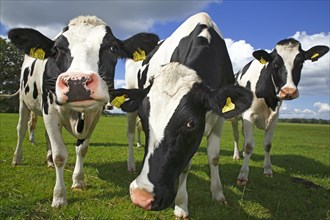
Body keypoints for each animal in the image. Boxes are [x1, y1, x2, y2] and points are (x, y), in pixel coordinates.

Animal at [8, 15, 160, 208]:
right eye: (56, 50)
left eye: (113, 48)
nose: (77, 82)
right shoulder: (49, 109)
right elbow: (60, 155)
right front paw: (59, 197)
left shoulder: (94, 113)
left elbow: (82, 149)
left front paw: (78, 181)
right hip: (23, 101)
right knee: (21, 129)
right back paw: (17, 158)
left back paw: (48, 161)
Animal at [111, 12, 253, 217]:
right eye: (144, 119)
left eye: (191, 124)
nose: (141, 197)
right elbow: (186, 165)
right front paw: (181, 205)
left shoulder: (219, 117)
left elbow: (214, 157)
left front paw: (218, 193)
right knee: (130, 134)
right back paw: (131, 165)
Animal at [231, 38, 328, 186]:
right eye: (275, 64)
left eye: (300, 63)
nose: (288, 91)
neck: (268, 97)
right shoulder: (249, 115)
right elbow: (249, 145)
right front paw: (243, 175)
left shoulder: (274, 118)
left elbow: (267, 145)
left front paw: (267, 170)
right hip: (235, 118)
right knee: (236, 136)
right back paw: (236, 155)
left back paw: (241, 154)